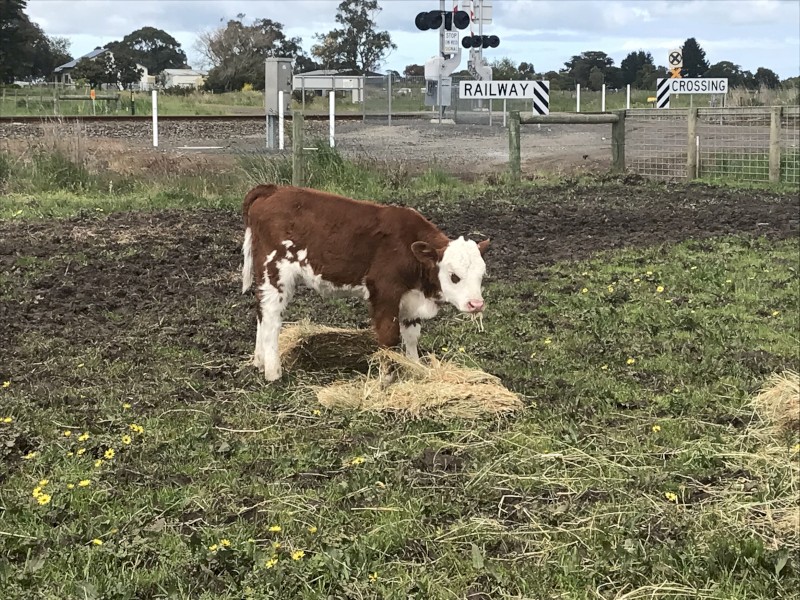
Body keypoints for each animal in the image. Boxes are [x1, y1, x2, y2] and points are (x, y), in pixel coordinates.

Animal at [241, 184, 489, 381]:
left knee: (260, 311)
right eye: (454, 275)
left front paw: (415, 368)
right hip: (275, 273)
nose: (476, 304)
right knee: (271, 318)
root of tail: (274, 189)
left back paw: (259, 361)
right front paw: (386, 379)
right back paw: (273, 372)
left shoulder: (411, 298)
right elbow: (390, 337)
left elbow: (411, 336)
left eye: (482, 275)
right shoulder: (385, 293)